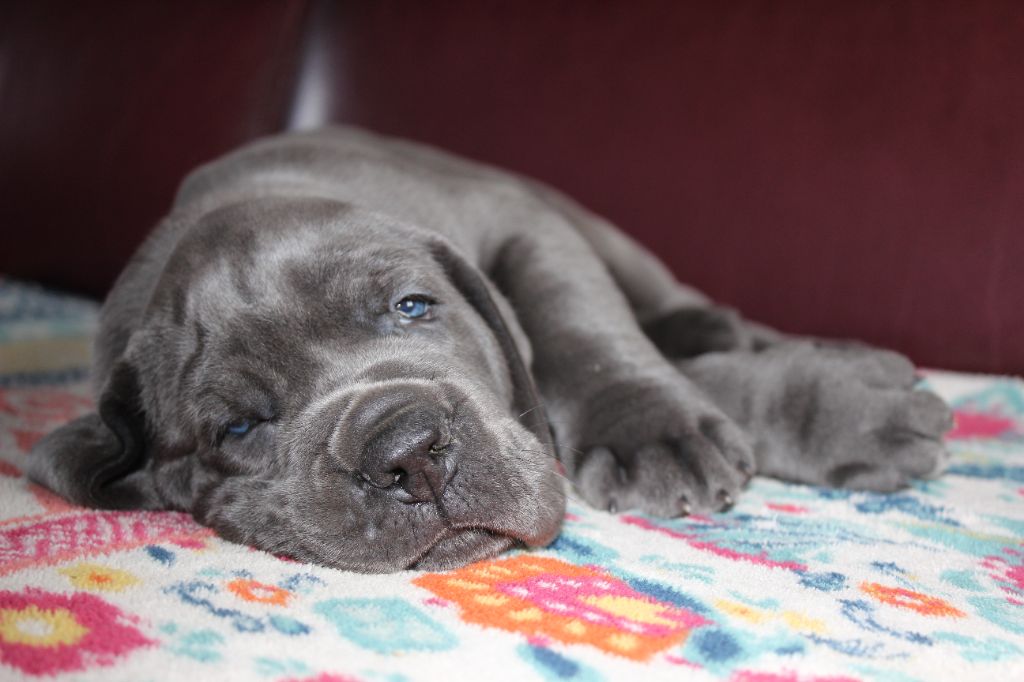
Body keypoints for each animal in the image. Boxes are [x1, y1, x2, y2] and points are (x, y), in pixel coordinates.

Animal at [28, 125, 950, 569]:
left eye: (413, 307)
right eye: (237, 430)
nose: (409, 454)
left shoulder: (526, 225)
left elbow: (578, 331)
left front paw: (654, 429)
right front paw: (841, 407)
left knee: (673, 308)